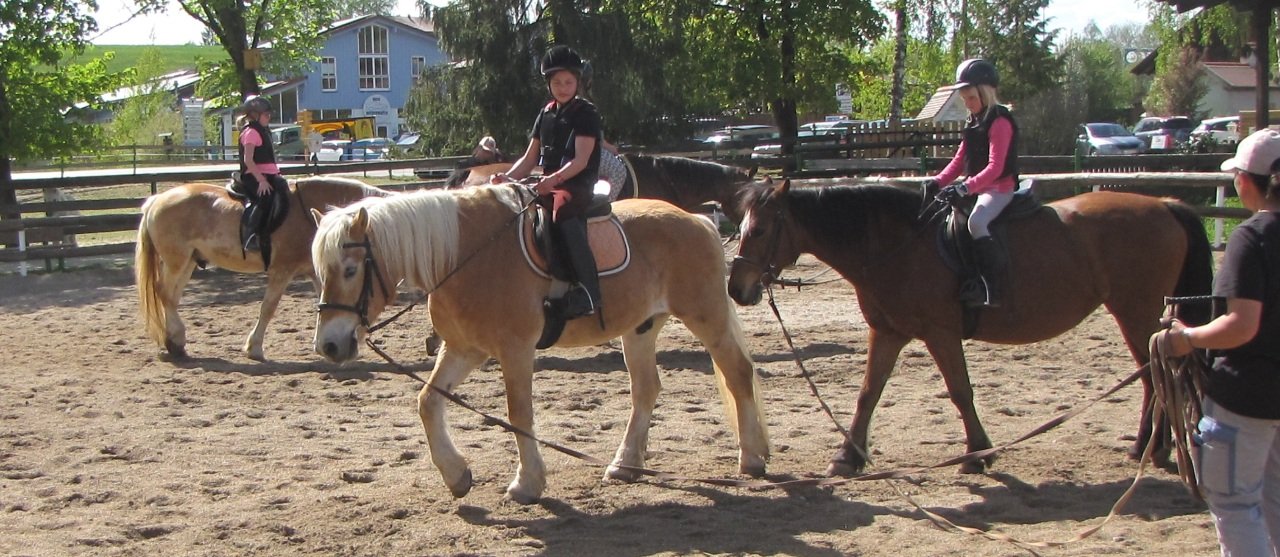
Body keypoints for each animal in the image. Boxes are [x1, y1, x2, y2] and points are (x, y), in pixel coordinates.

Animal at [135, 176, 392, 361]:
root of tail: (156, 200)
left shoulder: (317, 272)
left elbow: (326, 303)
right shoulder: (282, 270)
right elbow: (268, 307)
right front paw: (255, 347)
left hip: (187, 262)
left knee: (172, 297)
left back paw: (173, 341)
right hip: (176, 261)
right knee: (165, 293)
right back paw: (177, 340)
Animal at [309, 185, 770, 504]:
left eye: (350, 269)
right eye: (321, 272)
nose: (329, 345)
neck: (464, 256)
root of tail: (697, 219)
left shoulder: (515, 350)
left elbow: (519, 412)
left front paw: (527, 483)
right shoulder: (463, 349)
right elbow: (428, 402)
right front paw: (457, 476)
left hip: (705, 316)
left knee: (737, 372)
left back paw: (752, 458)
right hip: (640, 329)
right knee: (646, 390)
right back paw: (625, 464)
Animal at [727, 179, 1213, 476]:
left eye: (762, 229)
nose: (737, 289)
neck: (898, 245)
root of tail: (1163, 205)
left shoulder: (939, 332)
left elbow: (959, 391)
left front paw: (976, 454)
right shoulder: (887, 332)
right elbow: (868, 393)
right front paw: (847, 458)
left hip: (1136, 312)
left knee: (1155, 376)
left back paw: (1152, 448)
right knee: (1153, 376)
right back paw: (1149, 447)